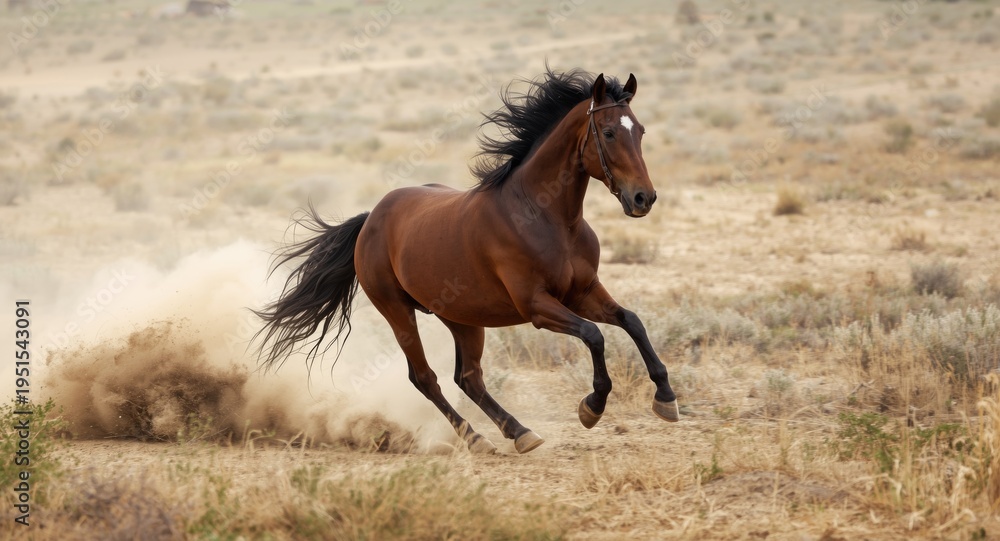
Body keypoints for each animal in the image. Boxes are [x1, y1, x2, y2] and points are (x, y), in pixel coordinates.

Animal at [254, 68, 679, 454]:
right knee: (425, 378)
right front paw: (592, 407)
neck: (547, 216)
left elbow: (631, 322)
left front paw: (666, 398)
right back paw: (476, 438)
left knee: (469, 377)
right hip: (398, 312)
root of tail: (371, 218)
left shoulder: (584, 291)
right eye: (608, 132)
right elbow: (594, 335)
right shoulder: (537, 306)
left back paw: (519, 433)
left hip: (462, 317)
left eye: (640, 131)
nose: (643, 198)